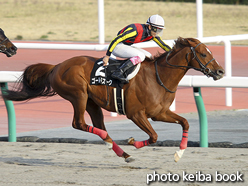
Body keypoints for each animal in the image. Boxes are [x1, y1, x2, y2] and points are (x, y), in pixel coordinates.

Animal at [1, 37, 225, 163]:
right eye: (204, 54)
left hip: (92, 102)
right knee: (79, 123)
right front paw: (133, 142)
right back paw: (115, 145)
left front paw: (179, 154)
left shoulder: (159, 113)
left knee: (97, 125)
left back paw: (121, 152)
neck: (158, 76)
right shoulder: (136, 114)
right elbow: (153, 136)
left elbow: (185, 122)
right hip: (78, 94)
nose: (220, 72)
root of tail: (56, 66)